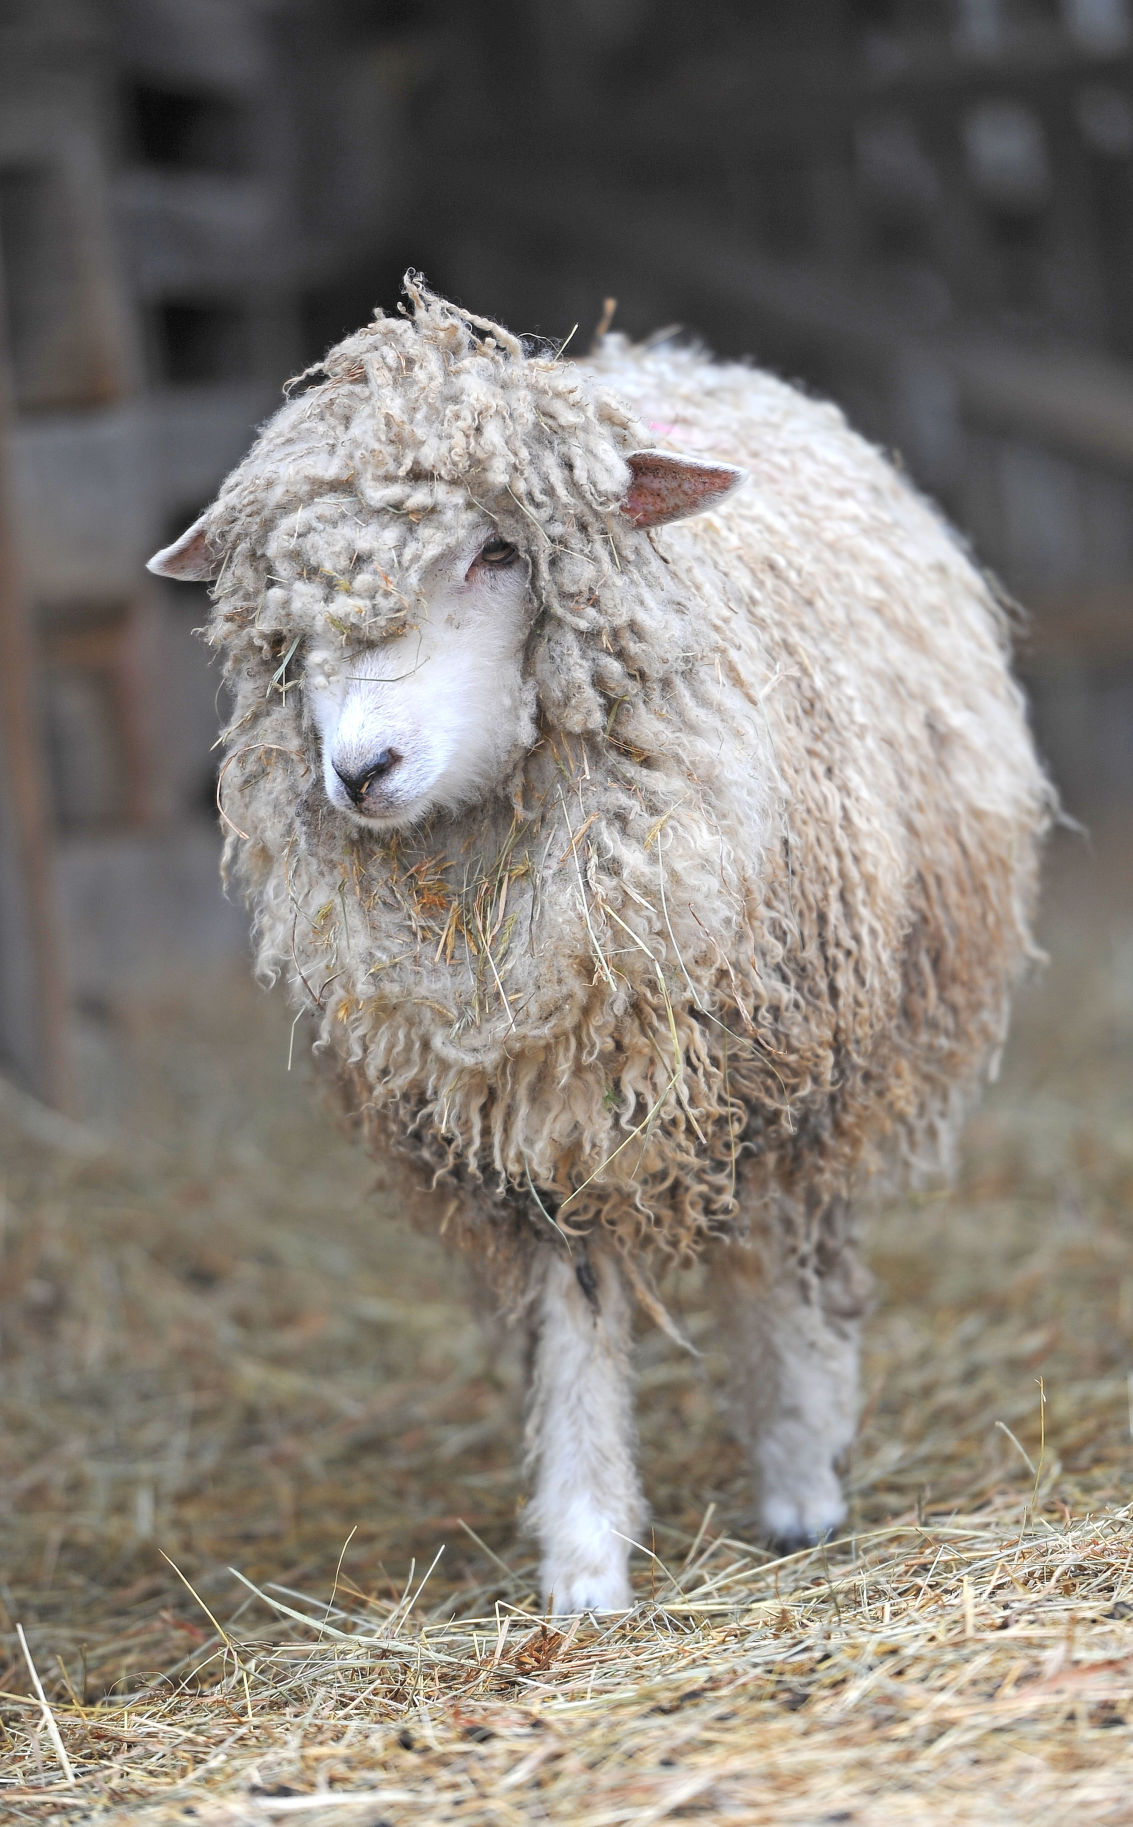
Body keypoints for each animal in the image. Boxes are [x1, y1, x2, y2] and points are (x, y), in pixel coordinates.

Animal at [149, 279, 1052, 1612]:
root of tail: (664, 353)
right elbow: (574, 1317)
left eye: (498, 551)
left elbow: (774, 1271)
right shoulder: (524, 1125)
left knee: (782, 1255)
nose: (362, 770)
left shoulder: (780, 1066)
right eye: (284, 596)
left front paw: (798, 1478)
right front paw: (582, 1560)